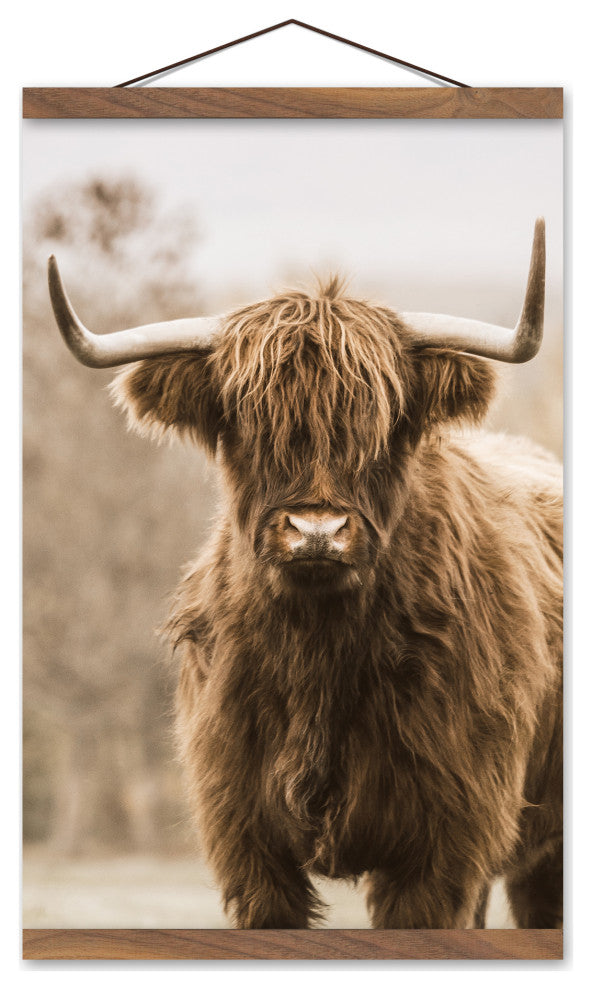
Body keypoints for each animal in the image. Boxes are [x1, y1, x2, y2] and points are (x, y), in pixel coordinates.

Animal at [47, 218, 562, 930]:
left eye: (384, 423)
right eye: (246, 422)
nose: (316, 531)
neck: (319, 653)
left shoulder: (447, 842)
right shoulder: (245, 840)